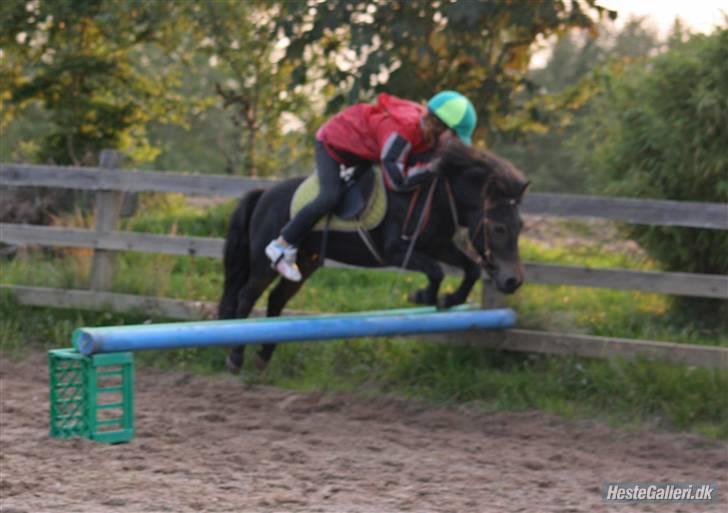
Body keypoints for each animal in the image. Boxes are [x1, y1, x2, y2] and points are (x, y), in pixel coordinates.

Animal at [219, 140, 528, 372]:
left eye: (520, 226)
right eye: (499, 228)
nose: (513, 281)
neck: (437, 195)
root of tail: (264, 194)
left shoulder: (438, 245)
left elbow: (471, 269)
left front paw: (449, 299)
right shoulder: (397, 251)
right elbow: (436, 271)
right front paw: (422, 296)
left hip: (305, 262)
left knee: (276, 299)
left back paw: (263, 355)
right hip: (264, 263)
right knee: (247, 295)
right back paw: (235, 356)